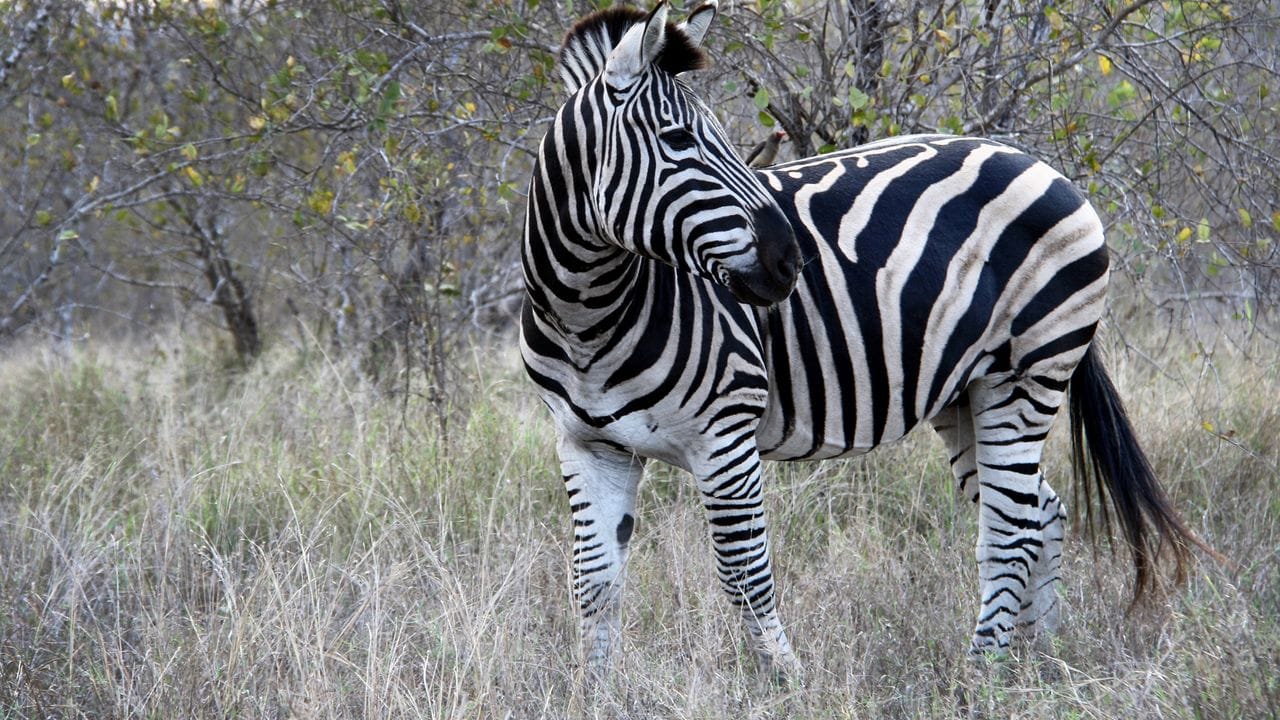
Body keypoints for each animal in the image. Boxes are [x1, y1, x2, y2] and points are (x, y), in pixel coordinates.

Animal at [519, 0, 1198, 676]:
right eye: (678, 139)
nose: (791, 260)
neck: (587, 316)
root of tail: (1040, 165)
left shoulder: (725, 435)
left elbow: (745, 574)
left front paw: (786, 682)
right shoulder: (588, 445)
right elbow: (593, 582)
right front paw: (597, 688)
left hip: (1027, 374)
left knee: (1011, 530)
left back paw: (981, 676)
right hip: (967, 391)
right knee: (1042, 512)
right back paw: (1037, 661)